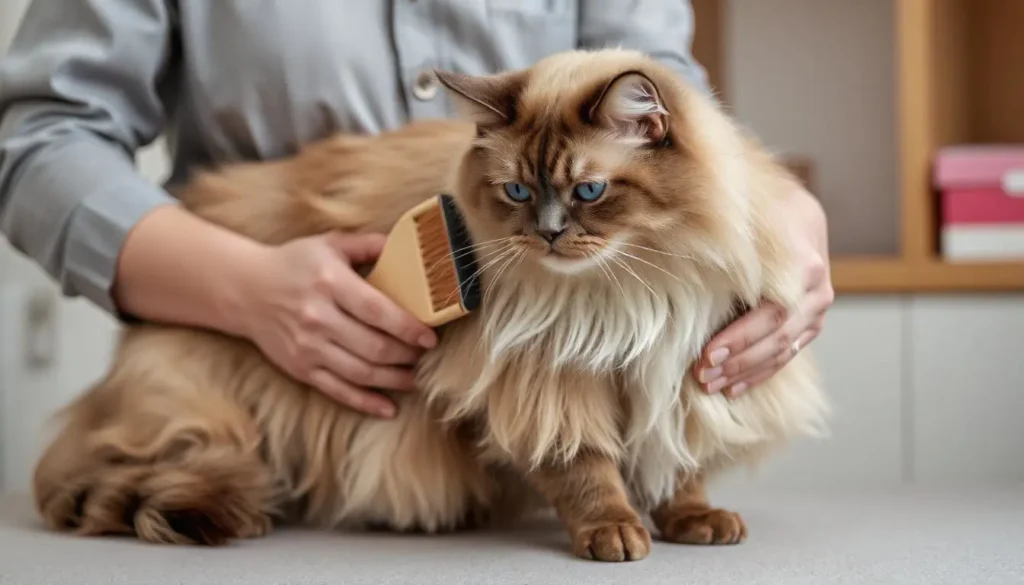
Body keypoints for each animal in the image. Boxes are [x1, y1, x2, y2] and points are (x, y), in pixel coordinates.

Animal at [32, 46, 827, 561]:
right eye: (517, 191)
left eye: (589, 191)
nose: (548, 233)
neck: (635, 288)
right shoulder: (542, 381)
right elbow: (589, 468)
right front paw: (615, 532)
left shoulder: (689, 363)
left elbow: (679, 458)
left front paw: (693, 518)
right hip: (203, 412)